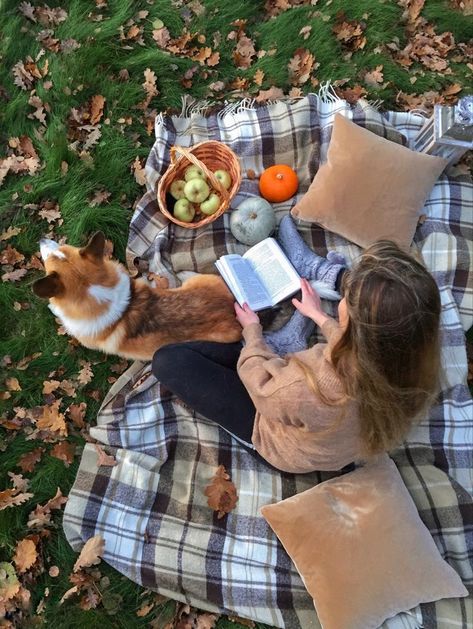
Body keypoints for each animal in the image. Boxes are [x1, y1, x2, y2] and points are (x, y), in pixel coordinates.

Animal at [32, 232, 243, 360]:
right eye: (64, 247)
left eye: (48, 260)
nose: (41, 238)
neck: (94, 289)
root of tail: (230, 308)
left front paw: (52, 307)